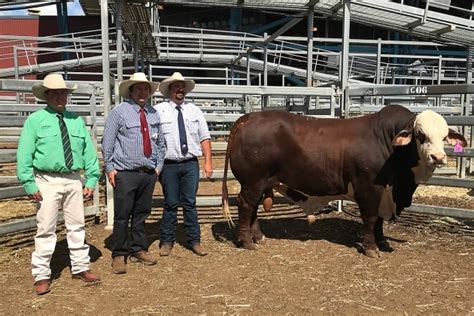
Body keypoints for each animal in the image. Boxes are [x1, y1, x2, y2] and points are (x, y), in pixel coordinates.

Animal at [222, 105, 466, 258]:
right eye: (420, 135)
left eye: (445, 136)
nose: (438, 157)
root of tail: (248, 118)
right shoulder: (369, 187)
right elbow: (370, 217)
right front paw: (371, 248)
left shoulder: (383, 192)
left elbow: (378, 219)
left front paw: (381, 240)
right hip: (253, 181)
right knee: (246, 204)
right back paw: (246, 241)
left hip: (261, 182)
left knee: (253, 207)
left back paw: (258, 237)